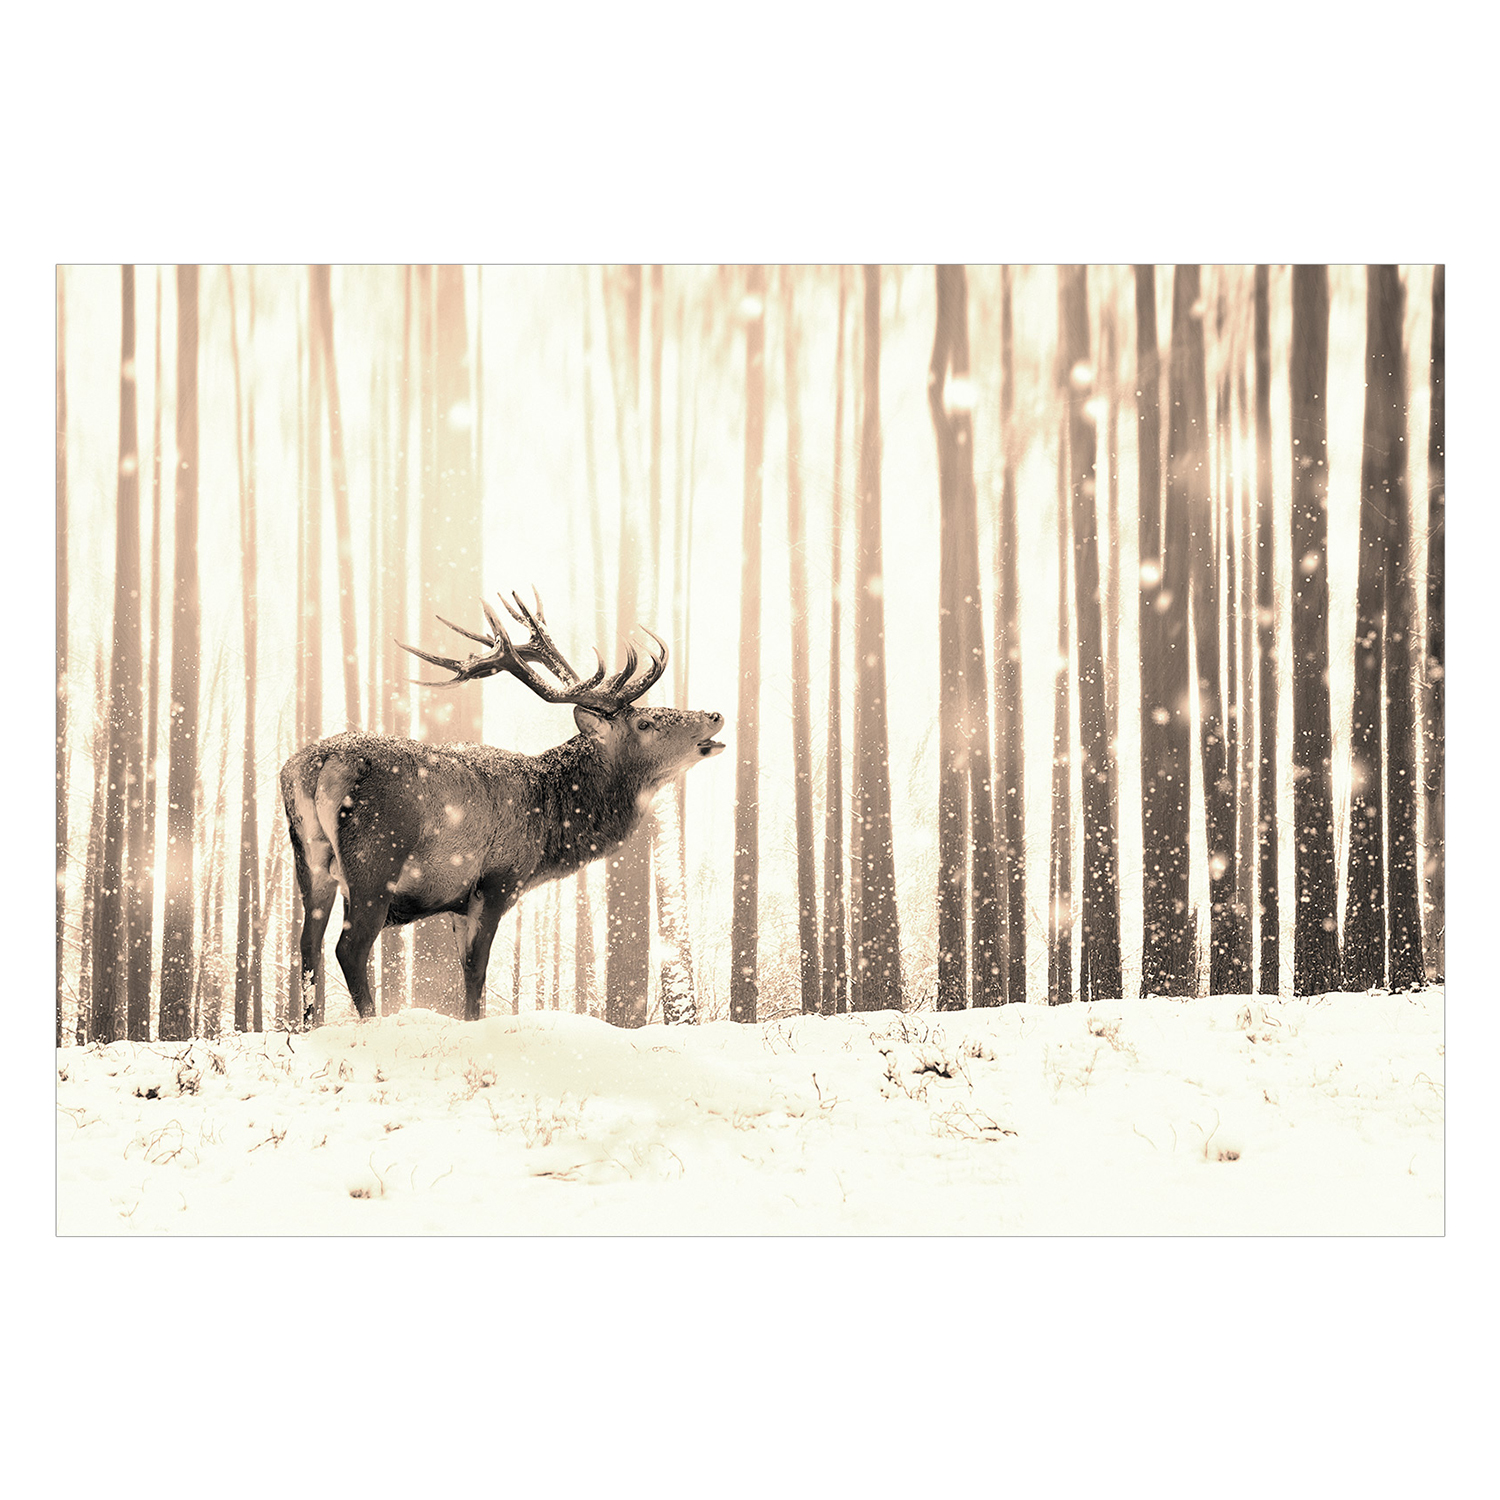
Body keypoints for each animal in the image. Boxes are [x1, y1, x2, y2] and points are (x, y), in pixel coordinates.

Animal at [279, 590, 725, 1026]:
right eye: (645, 723)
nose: (715, 715)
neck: (549, 826)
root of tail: (318, 764)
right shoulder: (498, 879)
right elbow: (478, 970)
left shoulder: (457, 901)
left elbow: (465, 969)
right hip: (375, 859)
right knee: (349, 947)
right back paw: (370, 1022)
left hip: (310, 860)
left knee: (307, 946)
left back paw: (309, 1027)